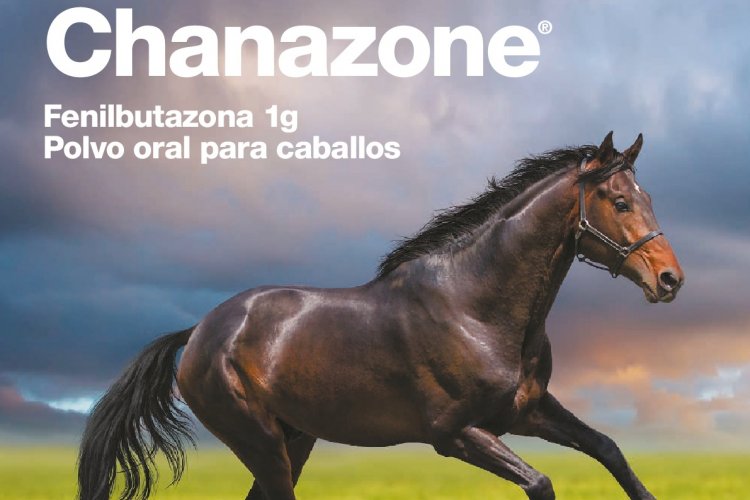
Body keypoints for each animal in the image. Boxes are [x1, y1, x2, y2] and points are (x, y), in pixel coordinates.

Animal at [77, 131, 684, 500]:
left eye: (649, 196)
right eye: (620, 202)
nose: (669, 280)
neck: (475, 309)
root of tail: (200, 332)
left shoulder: (526, 413)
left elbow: (608, 449)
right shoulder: (455, 434)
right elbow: (540, 484)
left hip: (294, 438)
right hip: (260, 442)